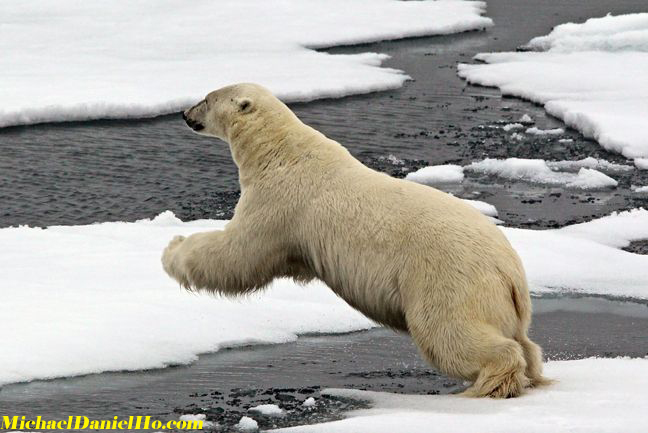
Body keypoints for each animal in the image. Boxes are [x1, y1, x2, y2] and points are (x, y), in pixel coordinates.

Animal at [163, 82, 548, 396]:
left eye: (207, 98)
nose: (184, 114)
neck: (280, 150)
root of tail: (509, 272)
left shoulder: (280, 202)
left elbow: (239, 252)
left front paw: (172, 249)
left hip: (448, 281)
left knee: (450, 333)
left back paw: (489, 383)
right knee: (522, 341)